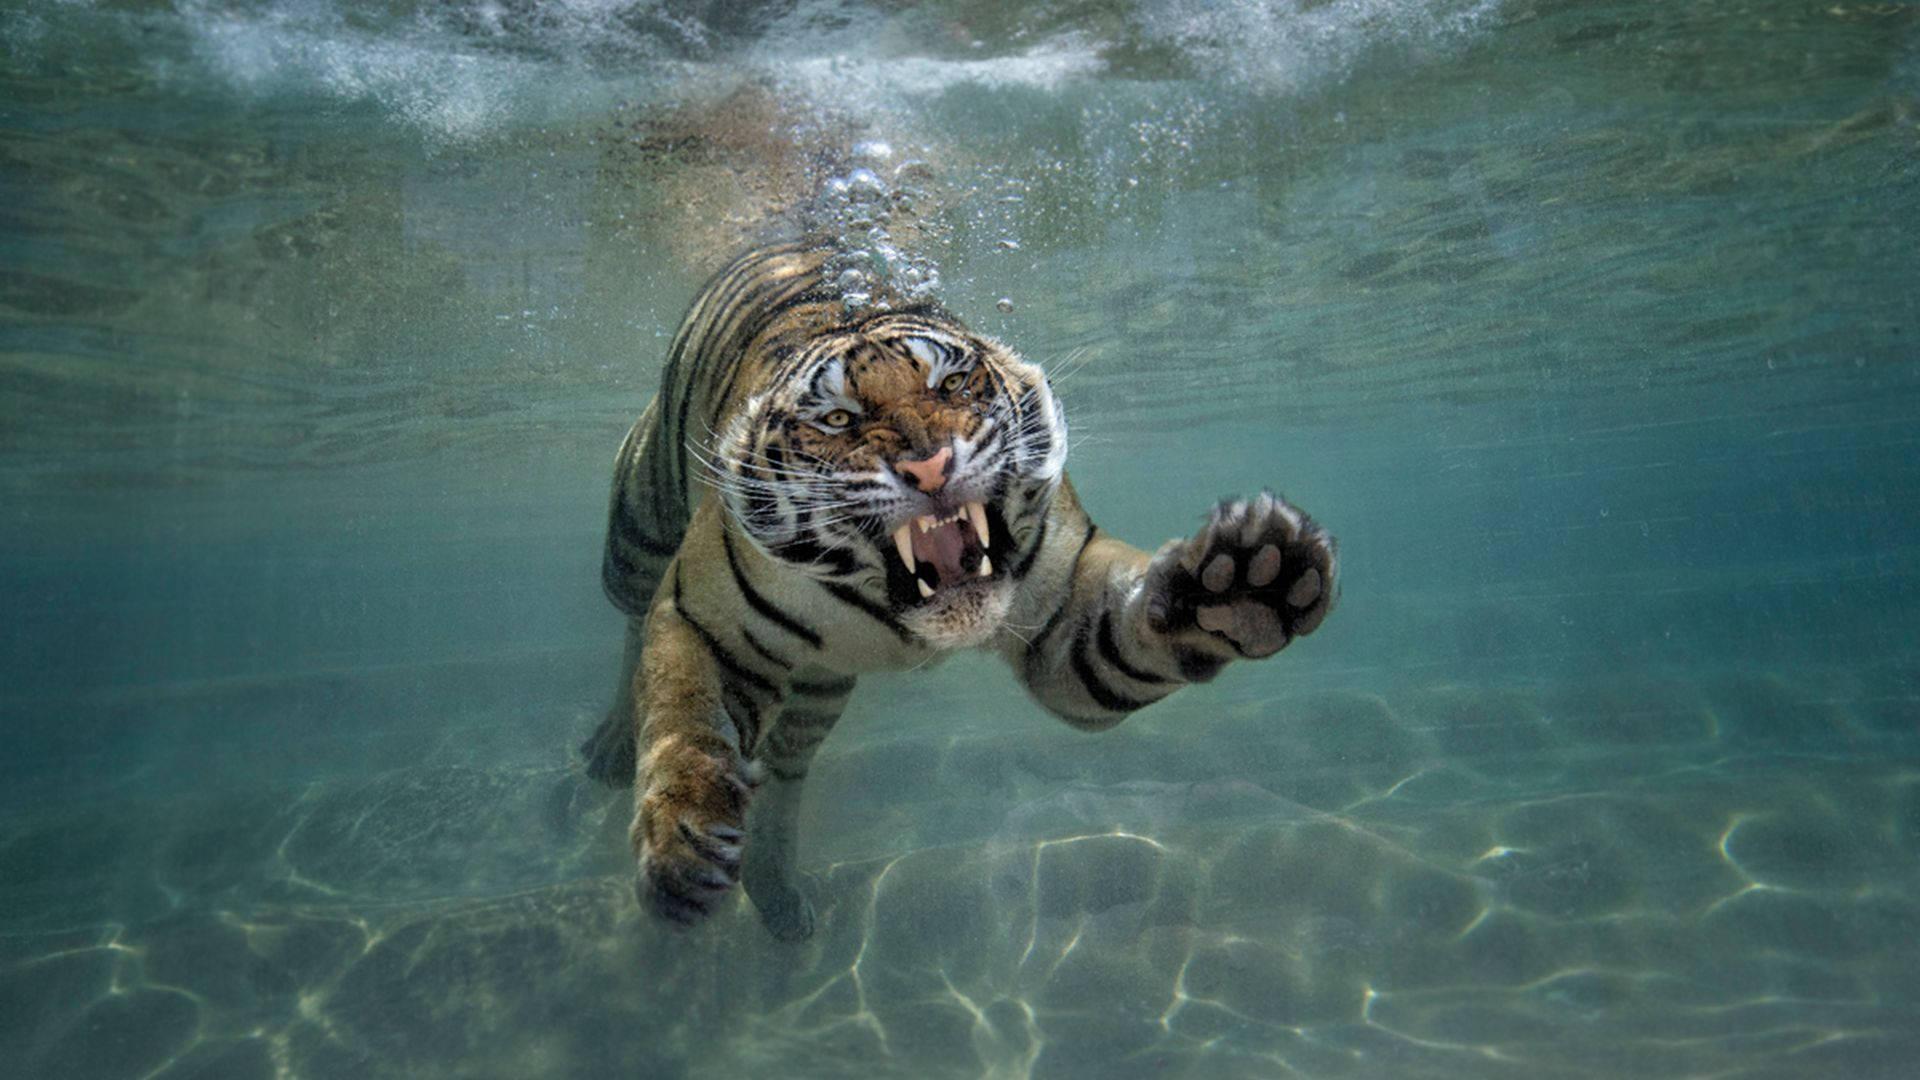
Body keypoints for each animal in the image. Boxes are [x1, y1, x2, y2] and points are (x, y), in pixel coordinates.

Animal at [582, 239, 1338, 940]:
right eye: (838, 419)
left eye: (951, 384)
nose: (929, 465)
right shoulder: (701, 618)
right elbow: (684, 718)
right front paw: (683, 843)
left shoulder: (1064, 619)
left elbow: (1131, 634)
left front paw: (1246, 583)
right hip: (639, 528)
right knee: (631, 625)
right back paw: (613, 749)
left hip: (820, 688)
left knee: (788, 767)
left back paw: (779, 896)